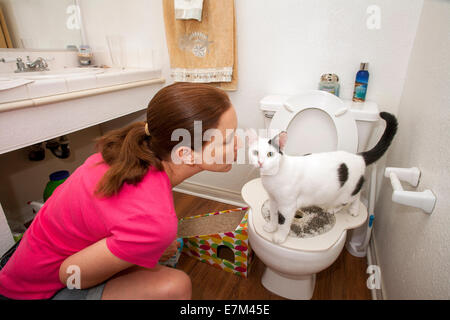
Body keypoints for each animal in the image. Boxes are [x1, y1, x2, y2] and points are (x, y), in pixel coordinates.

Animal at [246, 111, 398, 244]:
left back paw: (353, 210)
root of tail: (358, 156)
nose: (260, 162)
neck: (273, 177)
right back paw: (333, 209)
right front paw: (271, 227)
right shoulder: (273, 199)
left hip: (349, 191)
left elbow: (283, 222)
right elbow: (273, 215)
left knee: (356, 195)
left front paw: (280, 236)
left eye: (270, 154)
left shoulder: (287, 206)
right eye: (255, 153)